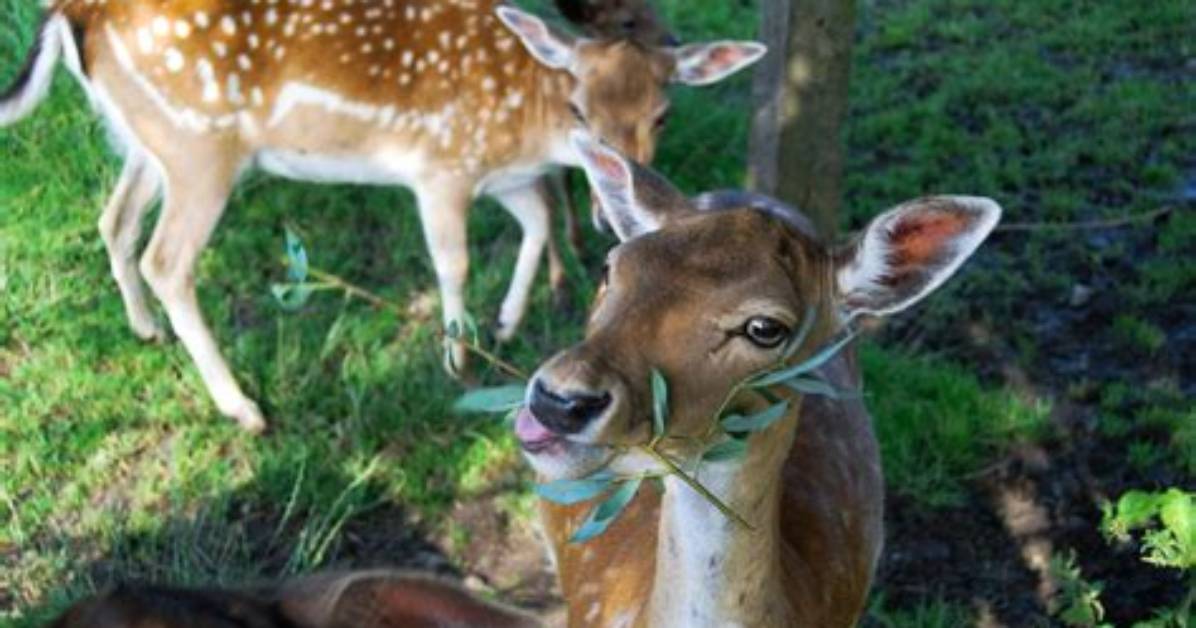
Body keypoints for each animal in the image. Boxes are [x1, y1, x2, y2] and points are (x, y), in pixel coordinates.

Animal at [0, 1, 765, 432]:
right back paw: (242, 408)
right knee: (167, 260)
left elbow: (537, 223)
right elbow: (454, 262)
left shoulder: (505, 179)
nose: (615, 217)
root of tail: (74, 13)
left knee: (114, 219)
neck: (525, 126)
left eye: (663, 114)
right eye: (579, 109)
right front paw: (458, 359)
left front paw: (505, 322)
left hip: (145, 139)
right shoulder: (442, 167)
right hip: (199, 149)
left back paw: (144, 329)